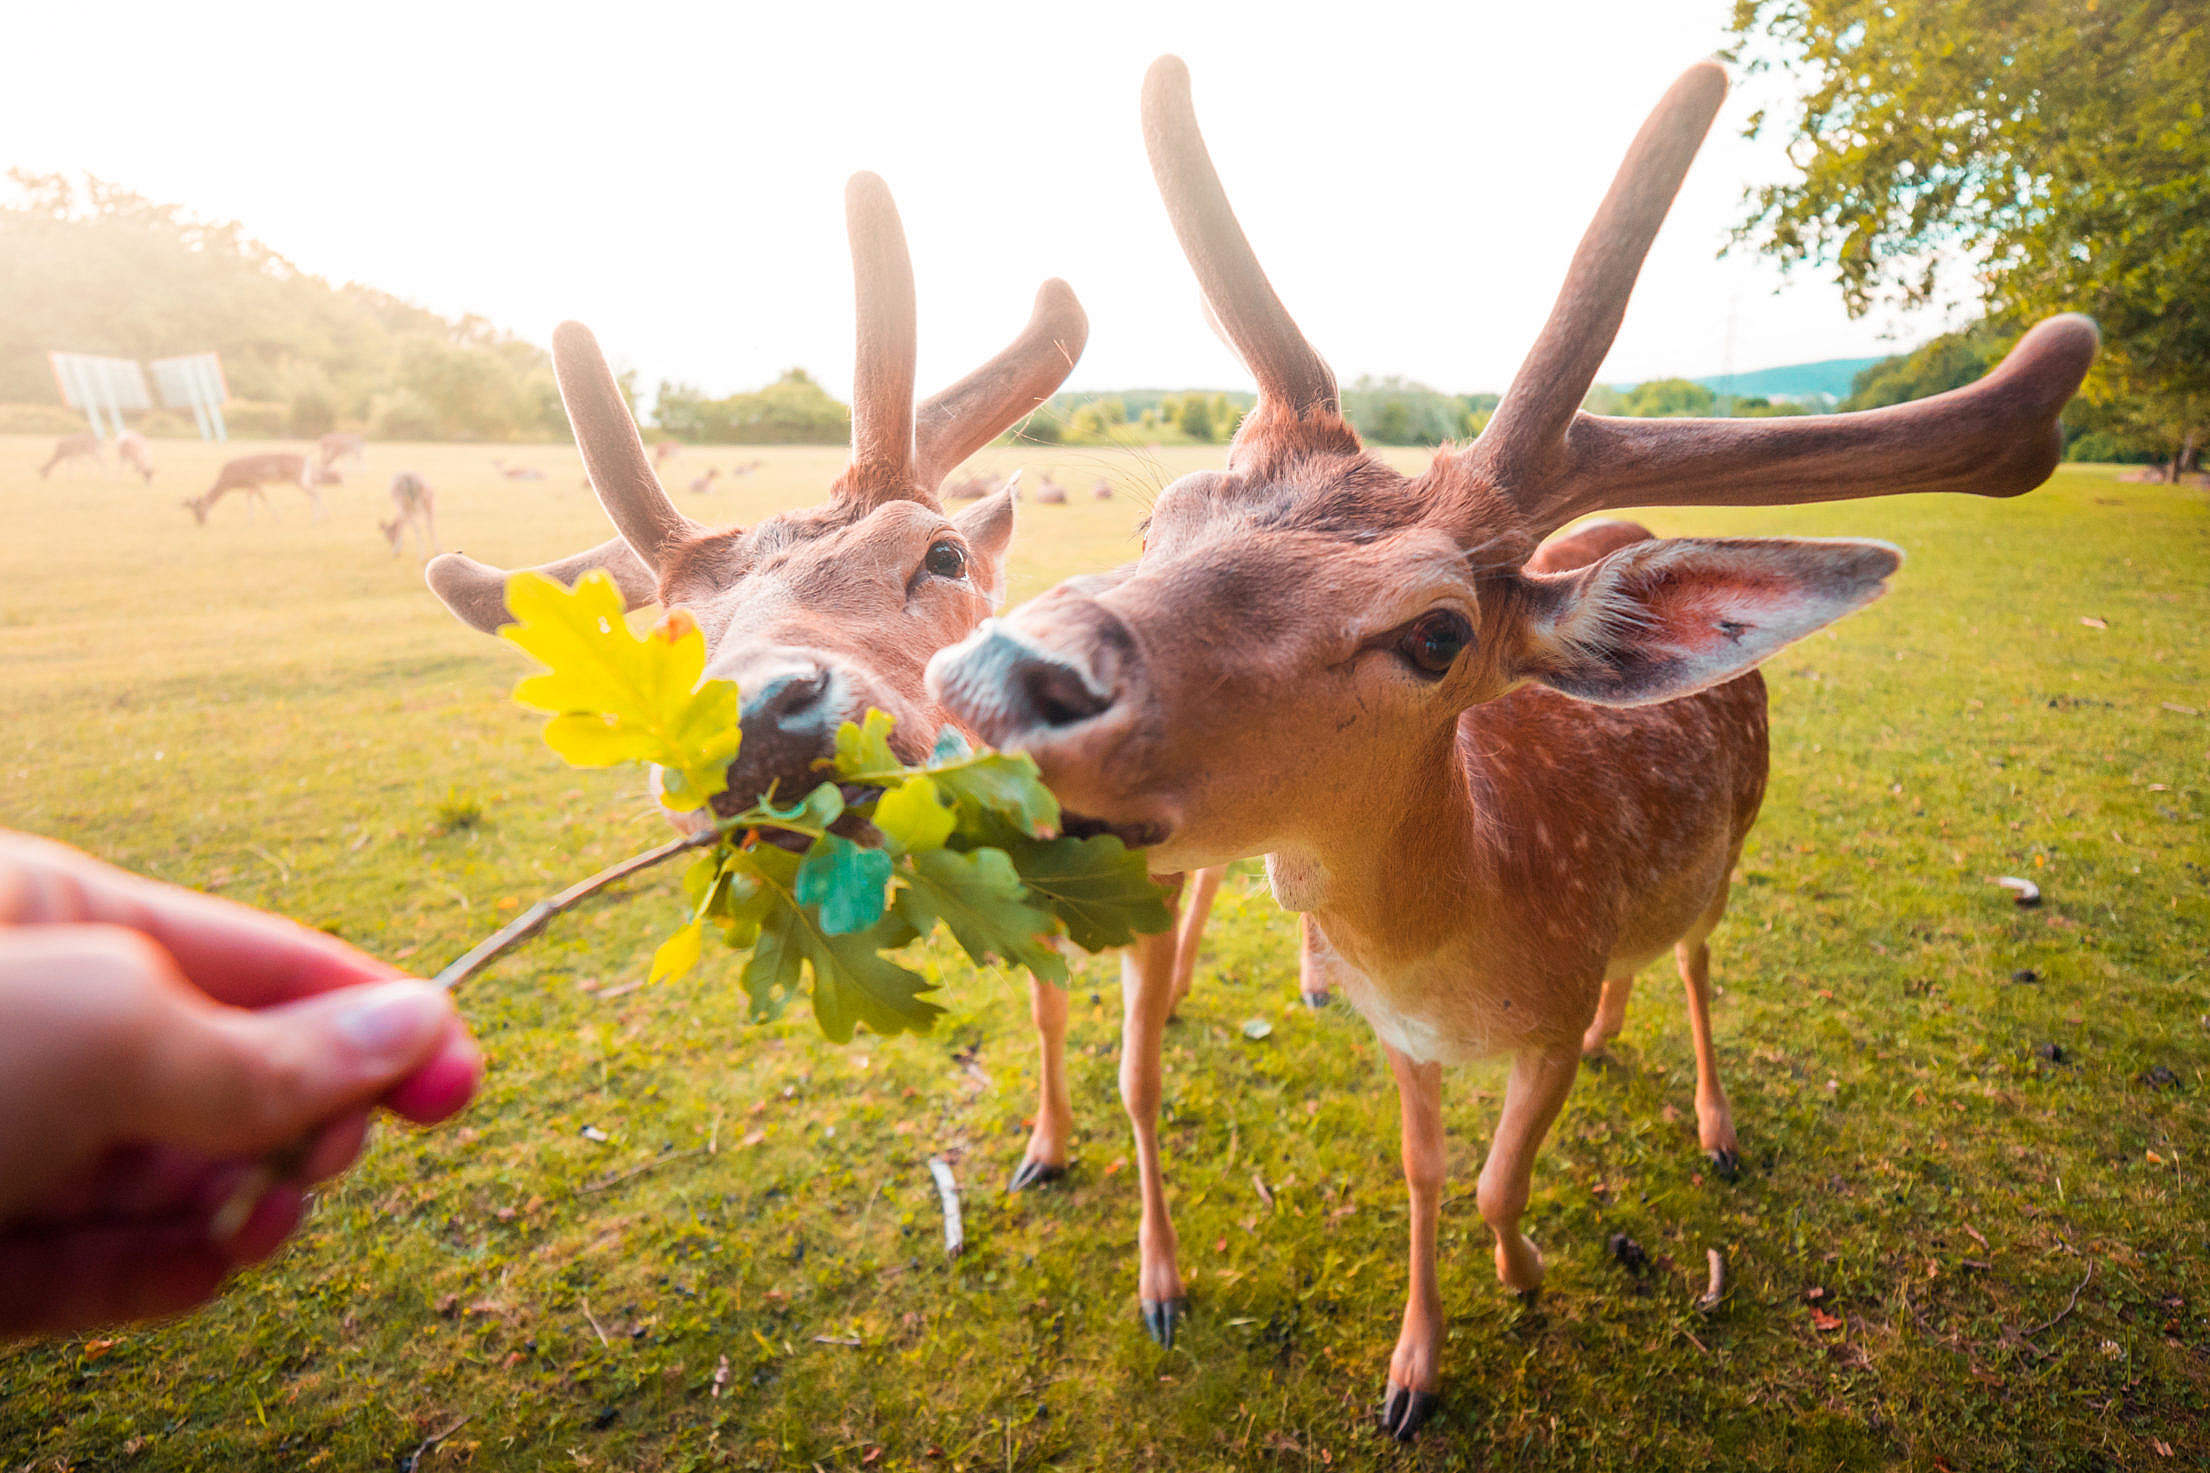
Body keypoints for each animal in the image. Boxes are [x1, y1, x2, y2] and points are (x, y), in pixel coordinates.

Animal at [185, 452, 341, 523]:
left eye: (199, 510)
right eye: (192, 512)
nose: (200, 523)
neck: (230, 481)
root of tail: (307, 459)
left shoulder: (254, 481)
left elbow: (261, 499)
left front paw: (276, 518)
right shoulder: (253, 484)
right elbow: (252, 499)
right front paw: (251, 520)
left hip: (298, 479)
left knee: (314, 493)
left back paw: (316, 519)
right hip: (304, 478)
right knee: (316, 491)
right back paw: (324, 517)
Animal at [417, 172, 1231, 1239]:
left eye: (942, 553)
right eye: (671, 639)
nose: (758, 722)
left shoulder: (1152, 875)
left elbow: (1140, 1073)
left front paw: (1158, 1262)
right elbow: (1048, 1008)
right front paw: (1044, 1150)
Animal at [927, 57, 2096, 1436]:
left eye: (1436, 632)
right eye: (1162, 518)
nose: (1000, 674)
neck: (1461, 946)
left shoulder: (1538, 1013)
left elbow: (1500, 1180)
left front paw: (1527, 1278)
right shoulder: (1399, 1036)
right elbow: (1427, 1173)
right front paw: (1411, 1368)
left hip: (1734, 838)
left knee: (1695, 958)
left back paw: (1713, 1124)